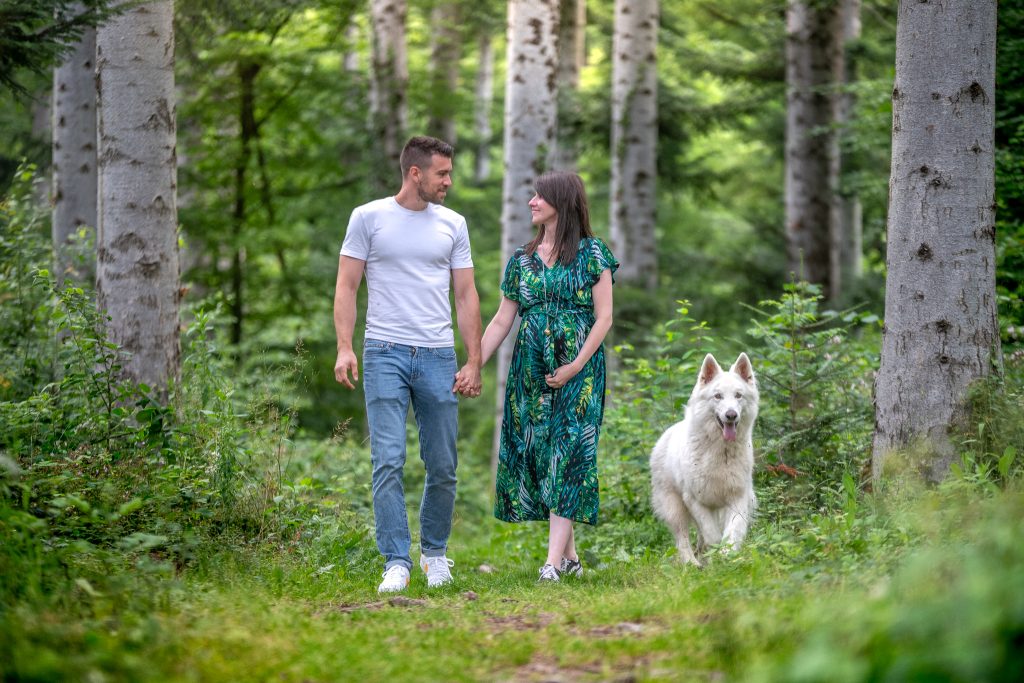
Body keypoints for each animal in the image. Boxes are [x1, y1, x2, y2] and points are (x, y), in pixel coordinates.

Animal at [651, 352, 757, 565]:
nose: (731, 415)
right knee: (682, 538)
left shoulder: (737, 497)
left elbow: (732, 531)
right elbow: (712, 534)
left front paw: (727, 556)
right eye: (718, 396)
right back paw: (692, 564)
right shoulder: (694, 500)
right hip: (674, 507)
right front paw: (716, 554)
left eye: (738, 395)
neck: (721, 451)